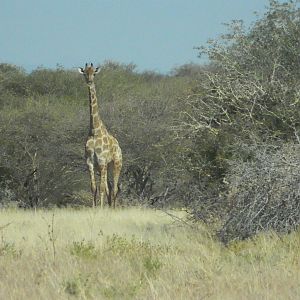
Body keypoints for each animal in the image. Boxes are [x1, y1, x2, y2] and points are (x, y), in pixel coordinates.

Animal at [78, 63, 123, 209]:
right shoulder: (90, 163)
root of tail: (119, 146)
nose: (89, 81)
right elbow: (94, 188)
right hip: (105, 168)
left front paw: (101, 209)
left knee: (114, 188)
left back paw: (113, 208)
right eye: (85, 73)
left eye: (94, 73)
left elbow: (102, 188)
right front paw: (94, 208)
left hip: (116, 164)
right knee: (110, 187)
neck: (94, 131)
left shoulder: (102, 161)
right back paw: (110, 207)